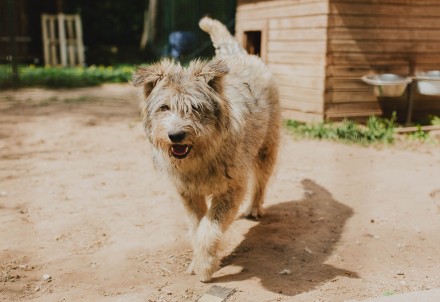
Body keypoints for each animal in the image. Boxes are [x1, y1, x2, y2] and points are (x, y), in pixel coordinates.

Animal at [132, 15, 280, 280]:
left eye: (195, 107)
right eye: (164, 108)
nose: (175, 135)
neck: (200, 157)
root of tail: (242, 55)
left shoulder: (231, 191)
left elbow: (209, 230)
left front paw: (204, 267)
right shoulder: (188, 194)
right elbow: (197, 227)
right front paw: (198, 261)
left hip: (266, 151)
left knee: (261, 182)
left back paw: (254, 208)